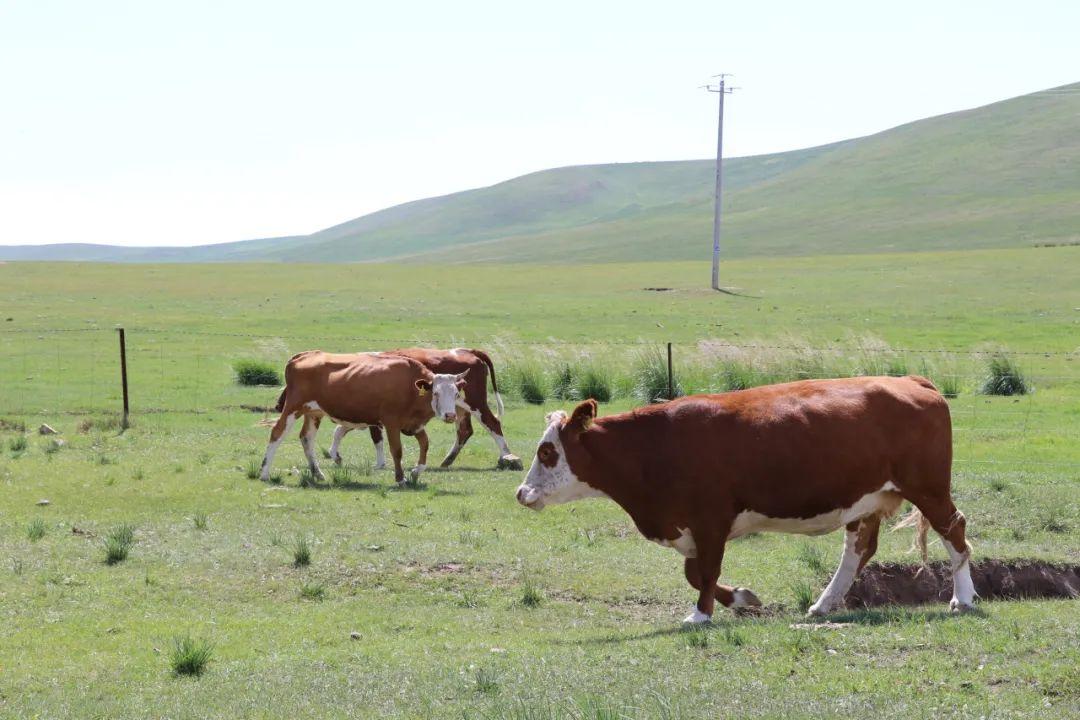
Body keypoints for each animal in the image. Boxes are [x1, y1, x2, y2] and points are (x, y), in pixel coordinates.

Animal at [263, 351, 466, 487]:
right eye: (436, 392)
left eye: (456, 393)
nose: (450, 415)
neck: (410, 387)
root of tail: (303, 355)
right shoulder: (391, 423)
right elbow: (397, 451)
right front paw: (400, 479)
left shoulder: (414, 424)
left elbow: (424, 444)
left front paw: (417, 470)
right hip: (293, 407)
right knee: (277, 432)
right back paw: (264, 472)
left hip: (314, 412)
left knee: (306, 438)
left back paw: (317, 473)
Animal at [326, 349, 520, 472]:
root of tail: (469, 351)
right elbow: (339, 431)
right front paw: (335, 455)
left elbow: (376, 439)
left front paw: (379, 464)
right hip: (457, 407)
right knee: (465, 431)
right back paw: (447, 460)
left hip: (475, 402)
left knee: (493, 423)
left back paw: (507, 457)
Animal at [509, 377, 976, 626]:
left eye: (547, 451)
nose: (521, 493)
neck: (654, 447)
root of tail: (912, 381)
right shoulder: (693, 526)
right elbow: (694, 573)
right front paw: (740, 599)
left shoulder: (710, 518)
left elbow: (705, 572)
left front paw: (700, 616)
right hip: (866, 500)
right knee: (858, 550)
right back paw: (824, 603)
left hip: (928, 487)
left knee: (955, 531)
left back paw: (964, 599)